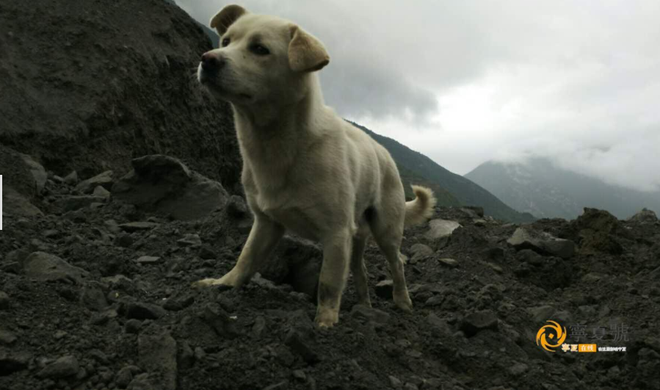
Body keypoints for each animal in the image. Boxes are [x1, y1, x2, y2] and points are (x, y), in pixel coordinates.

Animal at [193, 4, 436, 328]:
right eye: (226, 41)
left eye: (260, 49)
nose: (208, 59)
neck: (275, 143)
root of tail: (384, 153)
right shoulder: (266, 223)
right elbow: (245, 257)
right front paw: (224, 284)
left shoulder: (335, 233)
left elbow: (329, 282)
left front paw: (325, 323)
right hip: (357, 236)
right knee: (360, 270)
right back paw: (364, 305)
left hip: (386, 228)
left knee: (396, 262)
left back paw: (402, 301)